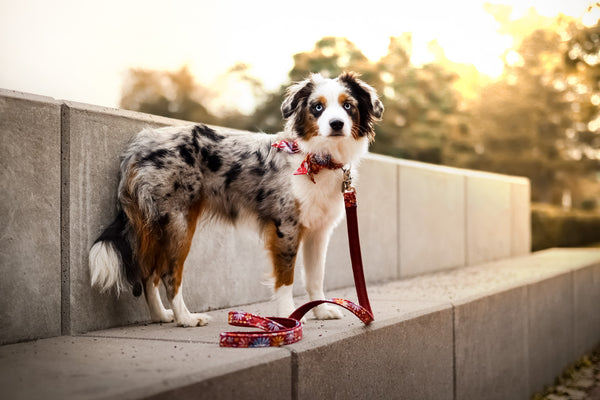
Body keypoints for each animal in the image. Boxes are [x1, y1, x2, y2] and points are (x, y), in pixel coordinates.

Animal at [89, 72, 384, 324]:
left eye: (348, 106)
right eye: (318, 107)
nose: (336, 124)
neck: (316, 158)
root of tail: (139, 145)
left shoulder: (318, 231)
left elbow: (314, 277)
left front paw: (320, 311)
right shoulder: (285, 227)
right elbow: (286, 279)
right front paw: (289, 318)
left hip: (159, 225)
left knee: (149, 272)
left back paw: (162, 316)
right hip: (179, 222)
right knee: (168, 274)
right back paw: (186, 318)